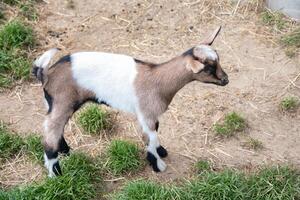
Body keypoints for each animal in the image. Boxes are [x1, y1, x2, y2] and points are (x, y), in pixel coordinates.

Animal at [32, 25, 229, 177]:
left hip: (52, 104)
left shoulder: (150, 115)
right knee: (50, 136)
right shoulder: (146, 113)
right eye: (208, 68)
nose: (226, 80)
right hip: (62, 103)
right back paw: (56, 174)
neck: (158, 80)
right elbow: (150, 138)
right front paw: (157, 165)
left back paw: (66, 152)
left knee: (56, 130)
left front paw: (161, 152)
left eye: (218, 60)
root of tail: (47, 73)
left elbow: (154, 135)